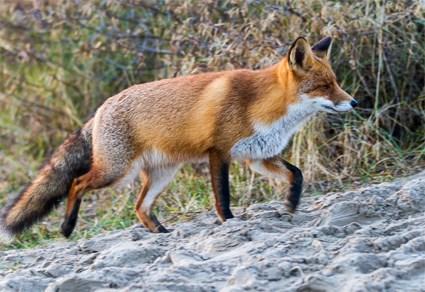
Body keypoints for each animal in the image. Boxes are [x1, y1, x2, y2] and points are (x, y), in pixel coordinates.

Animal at [0, 37, 356, 242]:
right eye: (324, 86)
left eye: (335, 82)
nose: (353, 102)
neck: (264, 105)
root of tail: (101, 108)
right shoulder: (220, 153)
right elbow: (223, 198)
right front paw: (230, 224)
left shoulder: (257, 156)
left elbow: (297, 174)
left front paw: (292, 205)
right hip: (116, 172)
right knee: (76, 183)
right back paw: (67, 227)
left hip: (161, 174)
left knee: (139, 207)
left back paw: (160, 233)